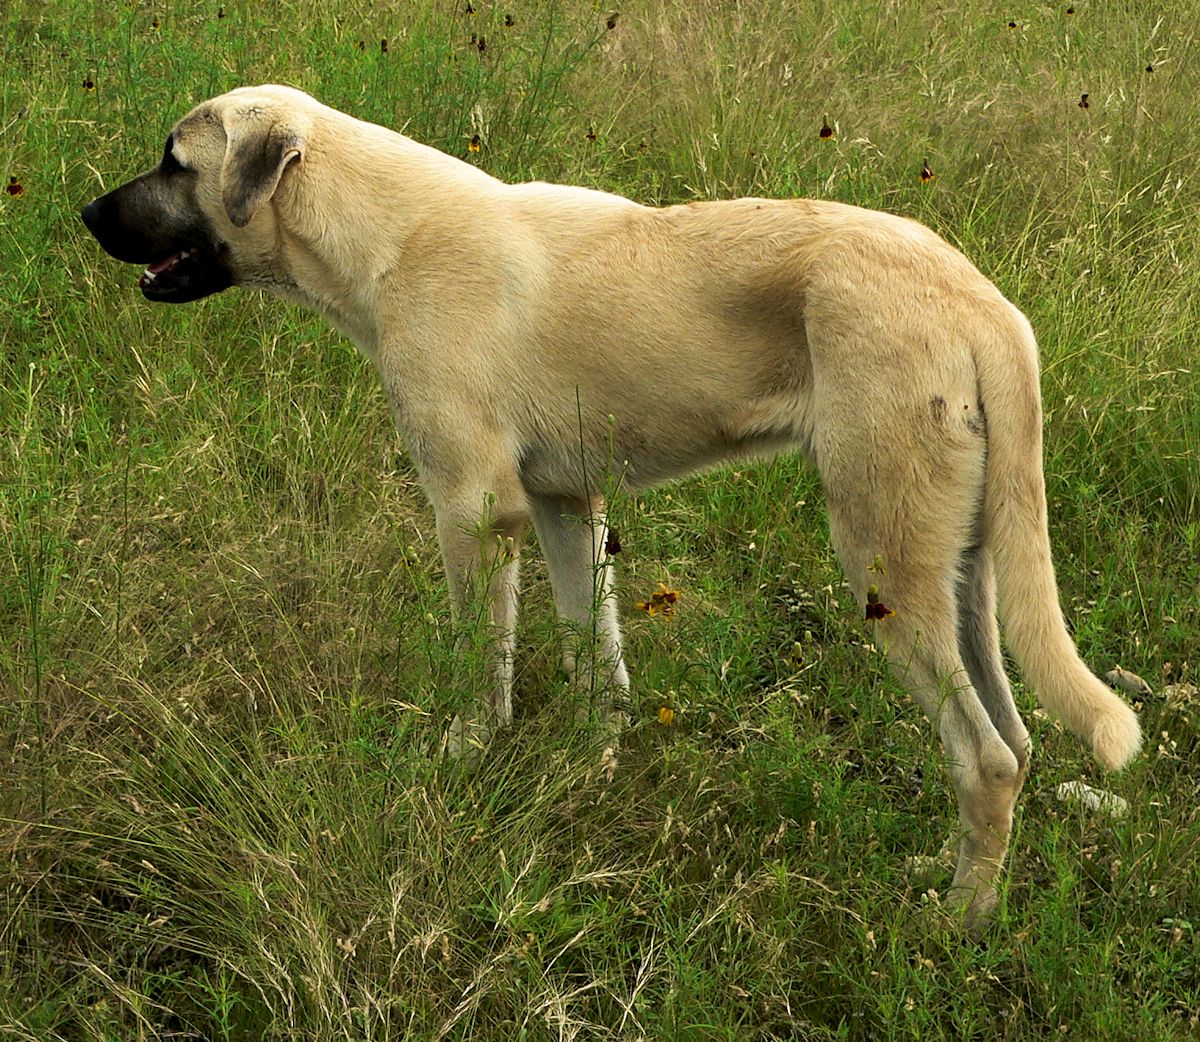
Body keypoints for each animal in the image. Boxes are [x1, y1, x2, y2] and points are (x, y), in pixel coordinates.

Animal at [79, 85, 1137, 921]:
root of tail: (981, 303)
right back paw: (962, 885)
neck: (386, 236)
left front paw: (463, 758)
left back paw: (956, 925)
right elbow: (599, 662)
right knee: (1015, 741)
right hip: (964, 572)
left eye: (174, 162)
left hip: (885, 556)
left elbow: (482, 666)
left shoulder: (473, 511)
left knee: (986, 760)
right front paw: (588, 774)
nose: (85, 214)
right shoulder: (561, 505)